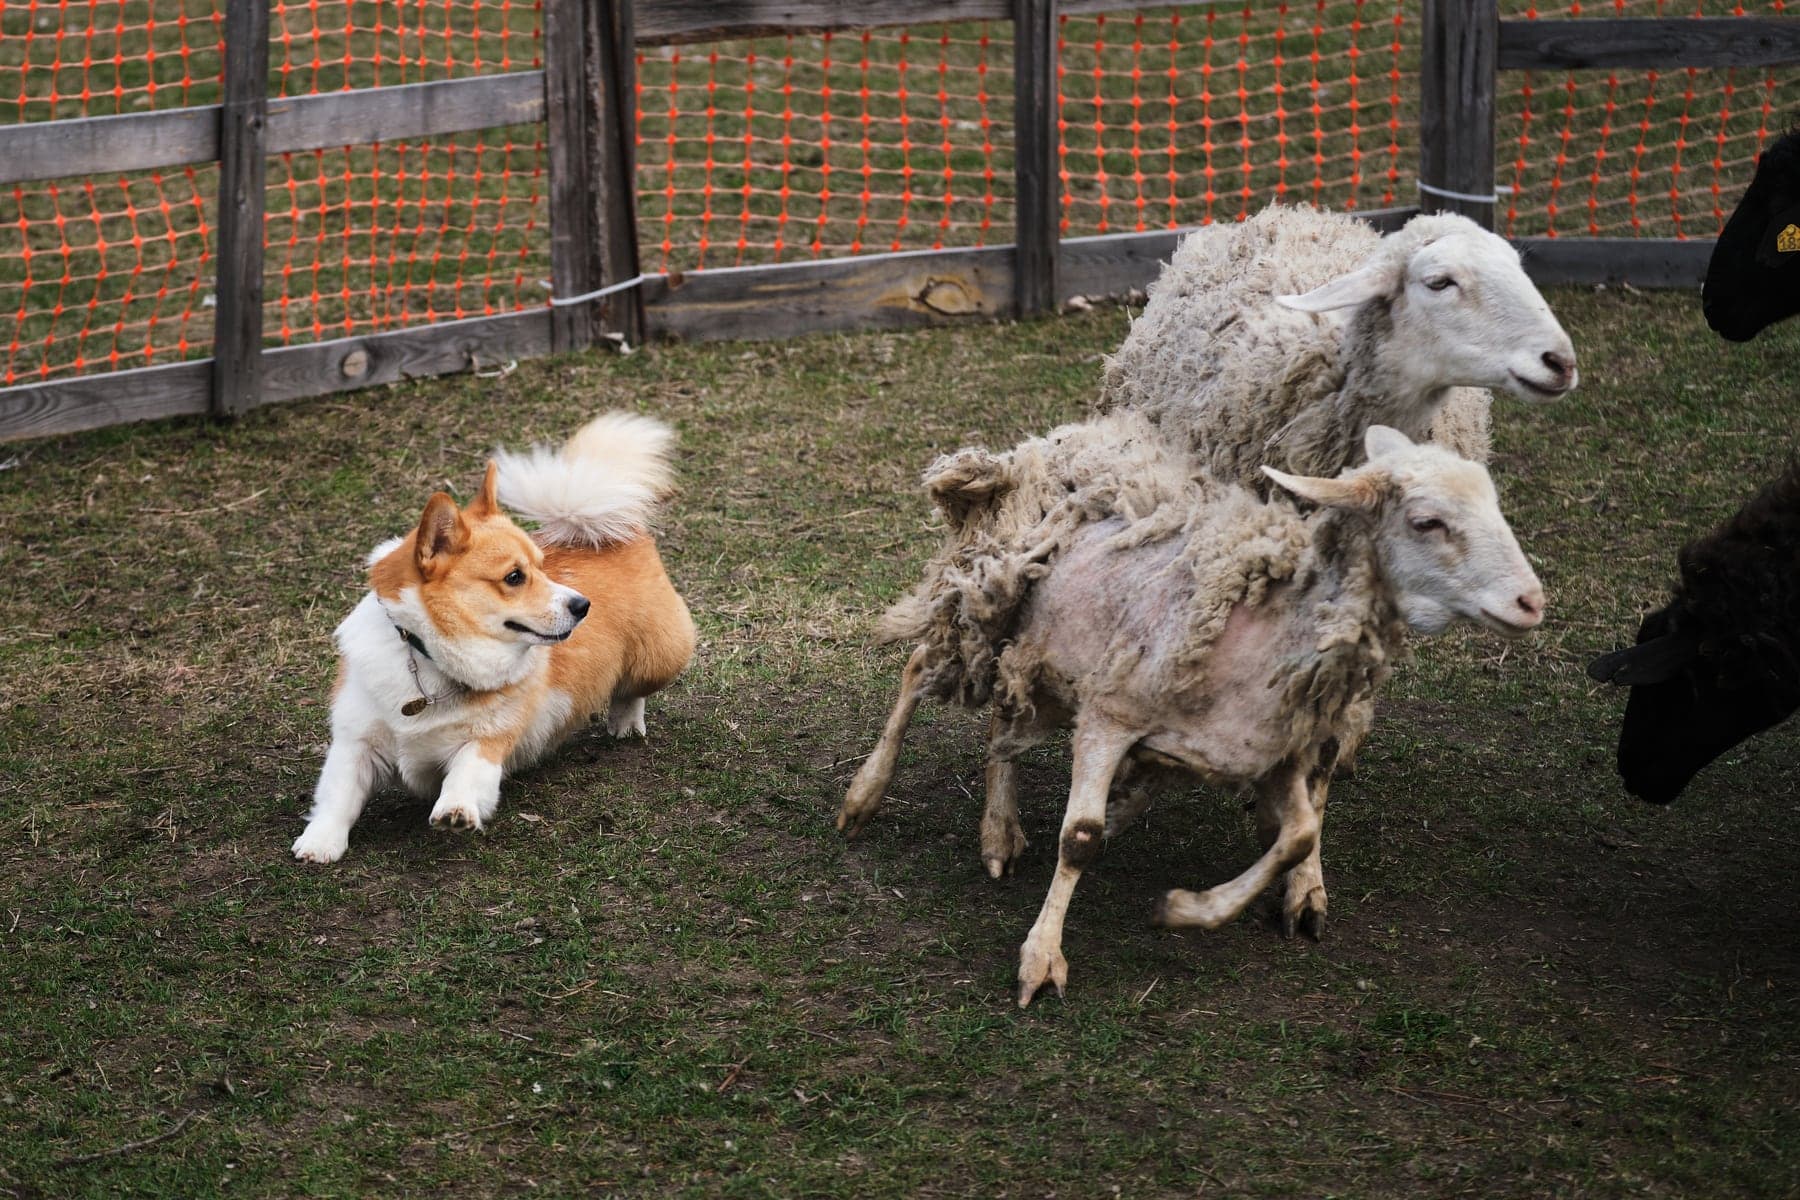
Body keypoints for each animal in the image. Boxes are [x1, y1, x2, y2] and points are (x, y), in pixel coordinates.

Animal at [838, 420, 1545, 1006]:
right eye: (1427, 522)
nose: (1531, 602)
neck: (1266, 630)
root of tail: (1055, 440)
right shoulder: (1110, 715)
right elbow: (1079, 839)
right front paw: (1041, 959)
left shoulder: (1272, 749)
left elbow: (1298, 835)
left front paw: (1185, 909)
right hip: (980, 605)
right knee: (916, 669)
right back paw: (864, 797)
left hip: (1032, 649)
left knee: (1003, 724)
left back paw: (997, 831)